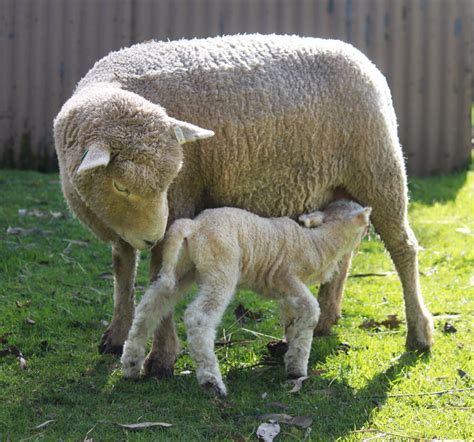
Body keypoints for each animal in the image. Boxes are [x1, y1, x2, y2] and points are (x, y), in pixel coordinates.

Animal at [123, 199, 374, 394]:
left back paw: (131, 365)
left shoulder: (286, 293)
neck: (320, 242)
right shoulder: (287, 278)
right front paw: (298, 368)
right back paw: (212, 382)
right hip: (220, 267)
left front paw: (289, 355)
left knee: (151, 306)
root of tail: (193, 226)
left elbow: (292, 321)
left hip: (182, 267)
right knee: (198, 317)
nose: (369, 233)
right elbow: (311, 311)